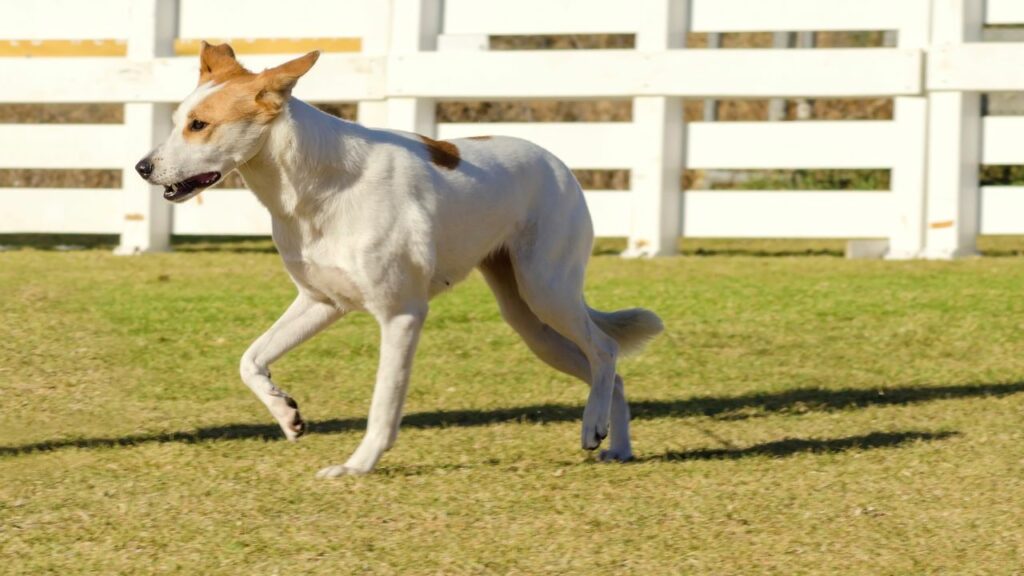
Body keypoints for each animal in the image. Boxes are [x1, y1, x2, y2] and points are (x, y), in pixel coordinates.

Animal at [134, 42, 663, 475]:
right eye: (177, 121)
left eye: (199, 125)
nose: (142, 167)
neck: (317, 184)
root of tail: (560, 165)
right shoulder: (320, 302)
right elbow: (250, 359)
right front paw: (287, 414)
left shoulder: (401, 315)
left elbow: (383, 404)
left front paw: (356, 466)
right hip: (530, 324)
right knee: (612, 372)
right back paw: (616, 445)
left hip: (547, 290)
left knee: (605, 349)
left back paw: (593, 427)